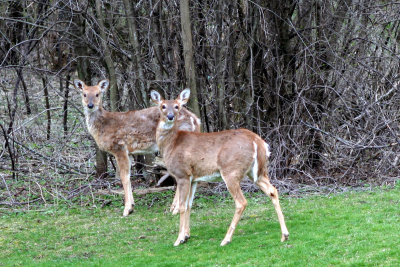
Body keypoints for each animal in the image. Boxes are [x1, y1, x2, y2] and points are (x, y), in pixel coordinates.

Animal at [73, 80, 200, 218]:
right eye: (84, 94)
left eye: (97, 94)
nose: (90, 105)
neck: (104, 126)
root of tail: (195, 119)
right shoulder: (128, 151)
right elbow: (128, 176)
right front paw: (132, 205)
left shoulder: (119, 147)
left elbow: (124, 176)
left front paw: (127, 209)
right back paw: (174, 207)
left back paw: (176, 209)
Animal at [149, 89, 288, 247]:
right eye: (163, 106)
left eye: (177, 106)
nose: (170, 116)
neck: (171, 144)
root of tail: (258, 141)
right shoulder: (194, 178)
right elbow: (190, 205)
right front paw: (186, 235)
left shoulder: (182, 174)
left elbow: (182, 206)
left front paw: (179, 239)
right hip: (257, 172)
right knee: (273, 191)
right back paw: (284, 235)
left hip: (231, 170)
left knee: (241, 202)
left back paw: (226, 239)